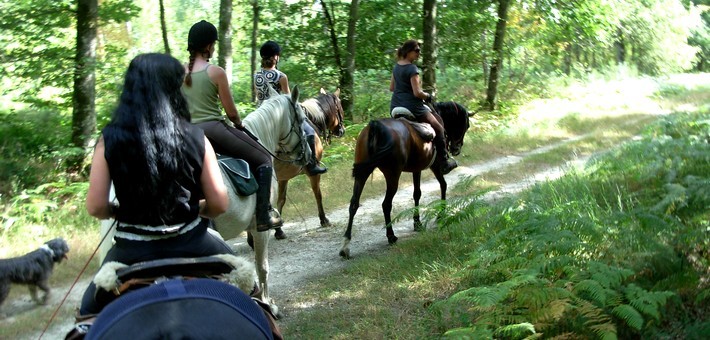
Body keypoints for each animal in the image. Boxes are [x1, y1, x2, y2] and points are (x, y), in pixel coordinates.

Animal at [272, 87, 344, 239]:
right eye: (340, 108)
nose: (341, 130)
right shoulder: (313, 174)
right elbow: (318, 194)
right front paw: (323, 219)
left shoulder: (283, 178)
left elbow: (281, 200)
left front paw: (278, 230)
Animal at [340, 101, 472, 258]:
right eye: (466, 125)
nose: (456, 149)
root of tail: (375, 127)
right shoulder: (435, 165)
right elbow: (442, 185)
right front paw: (440, 215)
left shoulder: (416, 169)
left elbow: (417, 193)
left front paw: (417, 223)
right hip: (392, 175)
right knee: (386, 204)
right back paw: (391, 236)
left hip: (362, 174)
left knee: (354, 204)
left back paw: (346, 245)